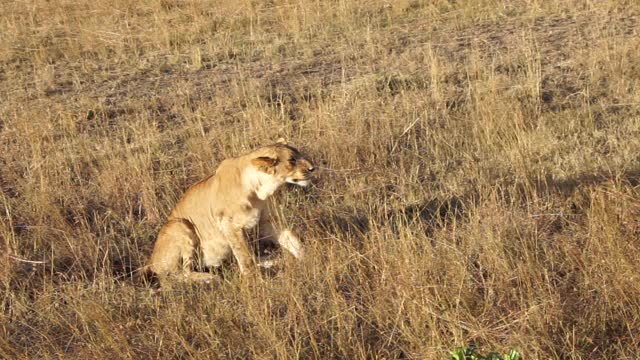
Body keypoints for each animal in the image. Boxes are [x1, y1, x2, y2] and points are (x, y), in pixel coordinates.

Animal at [146, 139, 316, 286]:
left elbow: (291, 239)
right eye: (292, 161)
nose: (312, 168)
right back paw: (209, 278)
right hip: (180, 224)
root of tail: (150, 262)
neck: (260, 189)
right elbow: (244, 256)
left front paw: (308, 259)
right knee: (181, 274)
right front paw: (256, 282)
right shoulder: (229, 225)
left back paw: (271, 261)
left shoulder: (267, 221)